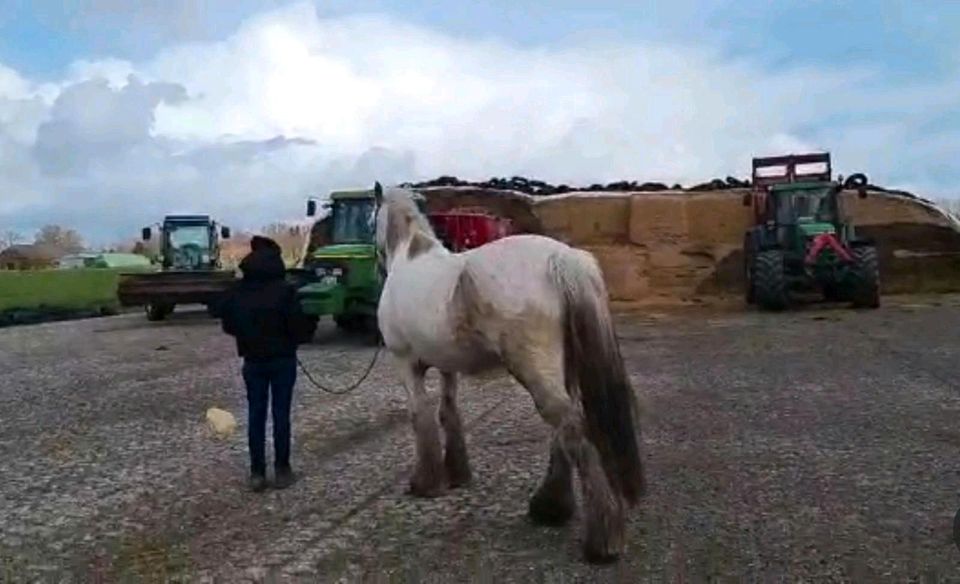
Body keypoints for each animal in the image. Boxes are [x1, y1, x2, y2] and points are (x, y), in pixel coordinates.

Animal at [372, 184, 648, 560]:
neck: (410, 257)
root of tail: (561, 259)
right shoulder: (447, 366)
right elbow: (448, 413)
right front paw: (456, 472)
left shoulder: (406, 364)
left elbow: (422, 417)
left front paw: (425, 482)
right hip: (560, 370)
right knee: (563, 431)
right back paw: (550, 507)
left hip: (535, 370)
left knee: (572, 429)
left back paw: (602, 538)